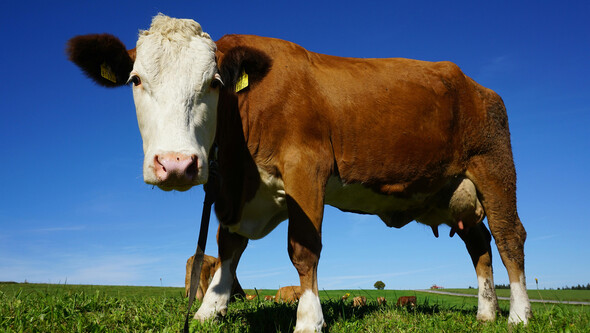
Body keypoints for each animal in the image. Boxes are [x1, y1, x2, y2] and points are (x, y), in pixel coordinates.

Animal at [67, 13, 536, 330]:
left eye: (214, 83)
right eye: (136, 80)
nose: (177, 165)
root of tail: (476, 85)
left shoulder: (306, 166)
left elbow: (303, 248)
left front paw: (309, 319)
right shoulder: (236, 192)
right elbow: (227, 248)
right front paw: (208, 310)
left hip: (494, 167)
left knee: (509, 238)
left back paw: (519, 314)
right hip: (450, 192)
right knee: (479, 244)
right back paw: (486, 314)